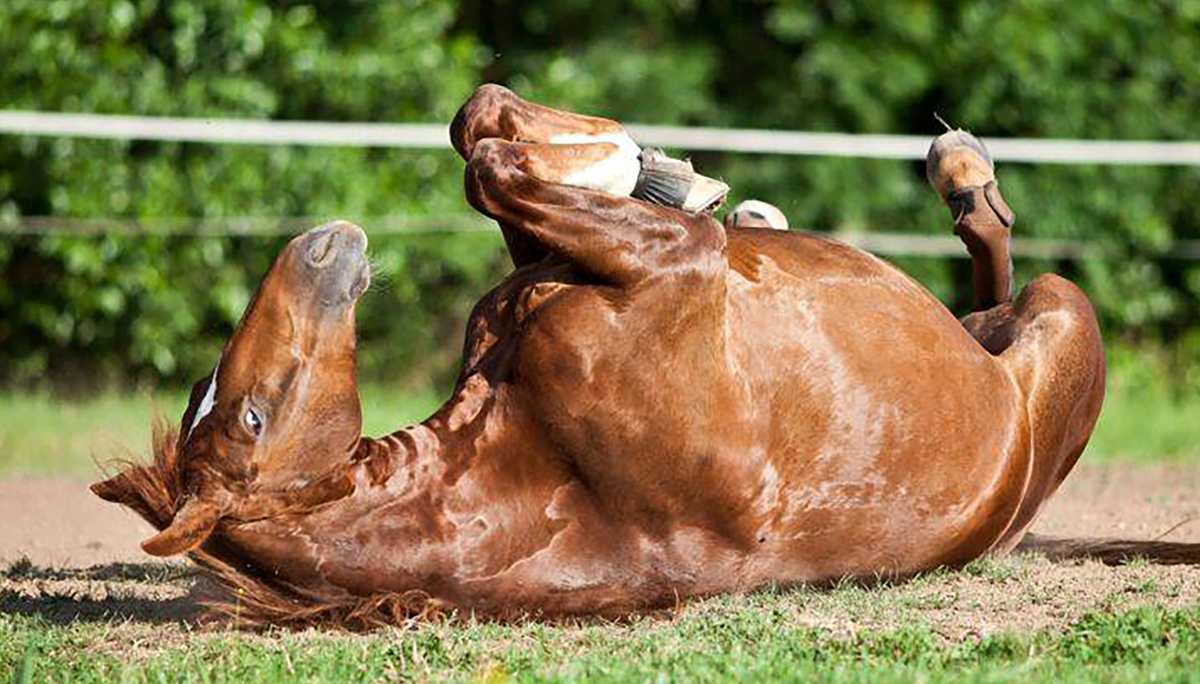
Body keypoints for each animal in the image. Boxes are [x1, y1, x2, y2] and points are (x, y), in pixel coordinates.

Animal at [92, 85, 1195, 627]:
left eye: (226, 403)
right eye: (250, 416)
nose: (323, 246)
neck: (530, 468)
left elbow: (480, 130)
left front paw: (658, 167)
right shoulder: (677, 269)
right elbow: (493, 165)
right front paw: (650, 168)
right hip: (1061, 318)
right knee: (1003, 269)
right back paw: (961, 171)